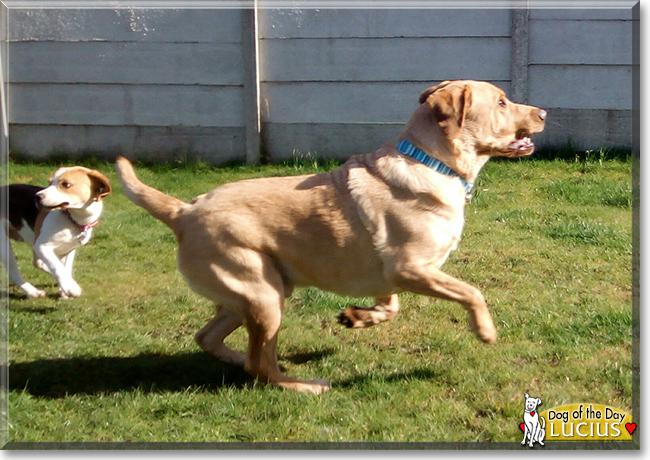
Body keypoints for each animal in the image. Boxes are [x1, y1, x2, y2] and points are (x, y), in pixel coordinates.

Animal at [0, 167, 110, 300]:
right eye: (49, 182)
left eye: (65, 184)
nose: (37, 197)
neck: (71, 220)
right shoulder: (42, 246)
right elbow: (57, 267)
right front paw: (70, 288)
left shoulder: (69, 249)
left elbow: (64, 268)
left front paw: (65, 288)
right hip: (5, 245)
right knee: (14, 272)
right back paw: (33, 292)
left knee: (37, 263)